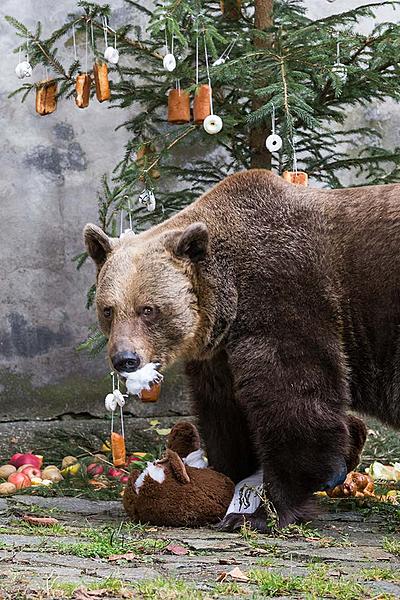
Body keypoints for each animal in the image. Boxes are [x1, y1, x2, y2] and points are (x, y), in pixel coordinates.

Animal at [82, 168, 396, 528]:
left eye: (148, 309)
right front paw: (228, 476)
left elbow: (293, 399)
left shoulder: (284, 297)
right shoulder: (217, 353)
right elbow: (224, 411)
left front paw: (260, 511)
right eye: (108, 309)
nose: (125, 359)